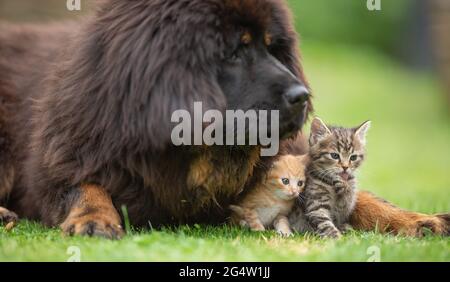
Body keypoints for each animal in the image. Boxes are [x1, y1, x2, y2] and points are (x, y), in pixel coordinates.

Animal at [0, 0, 448, 239]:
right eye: (235, 51)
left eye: (273, 47)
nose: (302, 96)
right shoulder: (61, 162)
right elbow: (84, 187)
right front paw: (94, 218)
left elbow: (367, 199)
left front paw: (417, 219)